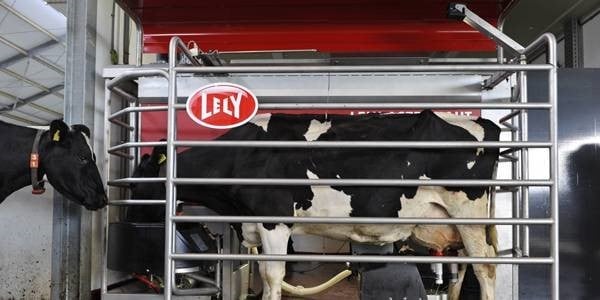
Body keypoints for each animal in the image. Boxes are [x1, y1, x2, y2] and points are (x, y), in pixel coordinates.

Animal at [132, 110, 502, 300]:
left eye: (137, 183)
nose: (132, 220)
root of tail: (483, 123)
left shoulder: (274, 220)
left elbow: (272, 275)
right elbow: (262, 274)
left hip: (467, 212)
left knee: (484, 265)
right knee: (465, 269)